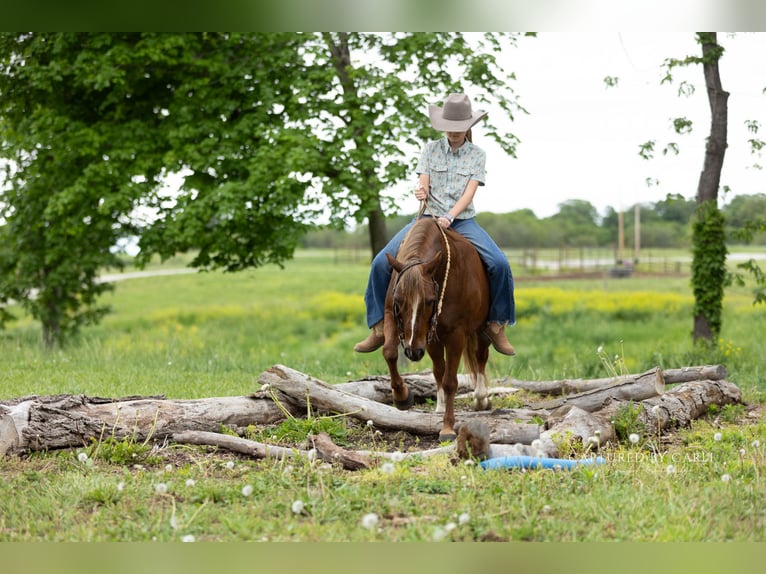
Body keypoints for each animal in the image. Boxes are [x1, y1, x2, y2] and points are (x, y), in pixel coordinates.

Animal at [382, 217, 492, 442]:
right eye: (398, 300)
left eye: (431, 300)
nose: (413, 352)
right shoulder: (393, 317)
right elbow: (389, 352)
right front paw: (402, 397)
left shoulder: (456, 334)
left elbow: (451, 381)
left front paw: (448, 427)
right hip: (431, 338)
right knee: (438, 369)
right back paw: (440, 405)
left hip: (479, 329)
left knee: (480, 358)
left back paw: (480, 398)